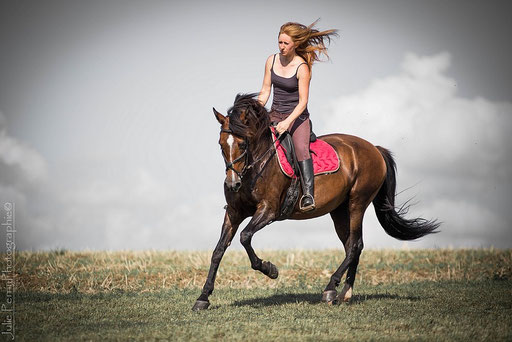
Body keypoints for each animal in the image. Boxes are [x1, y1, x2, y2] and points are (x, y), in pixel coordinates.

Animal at [192, 93, 440, 310]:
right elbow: (218, 250)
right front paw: (203, 298)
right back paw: (345, 293)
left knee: (355, 245)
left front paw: (270, 269)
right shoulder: (234, 212)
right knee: (352, 245)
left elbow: (245, 237)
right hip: (339, 210)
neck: (255, 166)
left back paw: (331, 289)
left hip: (357, 203)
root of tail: (375, 149)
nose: (232, 184)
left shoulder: (268, 211)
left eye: (242, 145)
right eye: (221, 144)